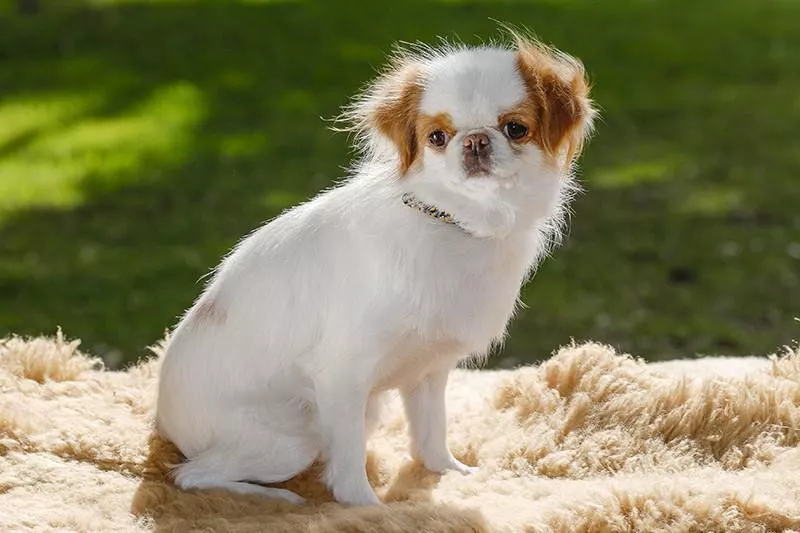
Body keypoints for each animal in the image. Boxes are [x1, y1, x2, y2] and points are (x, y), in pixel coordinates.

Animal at [155, 32, 592, 508]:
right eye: (437, 137)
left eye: (515, 128)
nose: (475, 141)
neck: (453, 223)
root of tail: (164, 421)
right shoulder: (342, 376)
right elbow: (348, 469)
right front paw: (369, 509)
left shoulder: (428, 370)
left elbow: (430, 437)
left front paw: (451, 473)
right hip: (296, 436)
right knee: (189, 476)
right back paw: (277, 499)